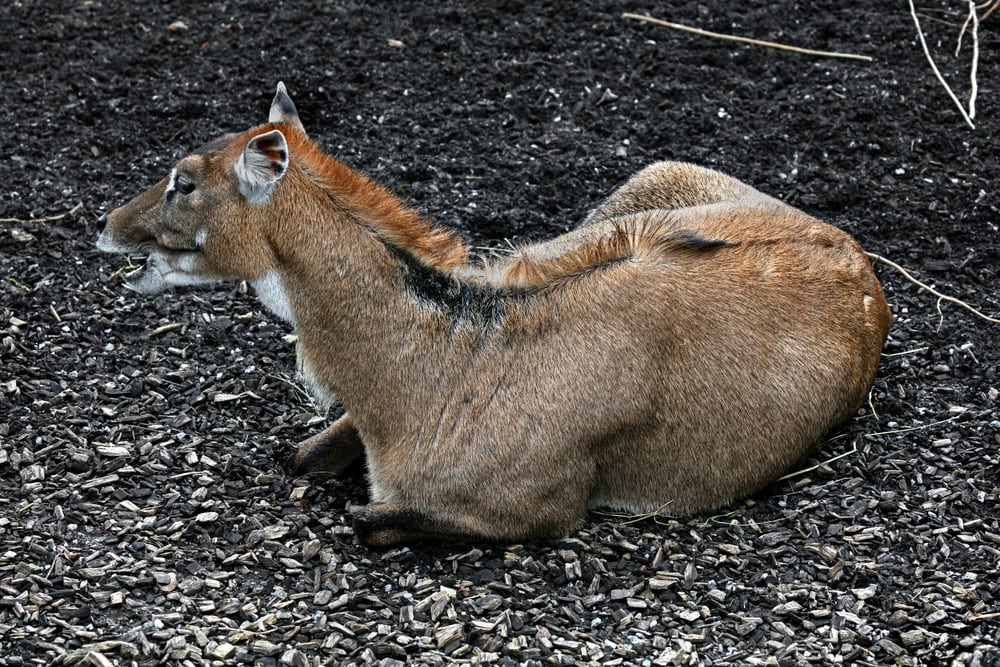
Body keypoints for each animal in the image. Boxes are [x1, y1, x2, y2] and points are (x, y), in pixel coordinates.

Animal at [98, 83, 892, 547]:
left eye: (183, 182)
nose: (106, 225)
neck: (435, 372)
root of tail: (854, 255)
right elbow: (296, 456)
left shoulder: (545, 509)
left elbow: (370, 520)